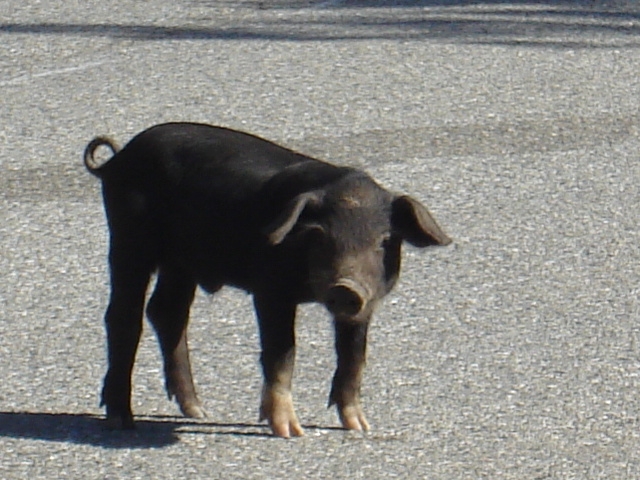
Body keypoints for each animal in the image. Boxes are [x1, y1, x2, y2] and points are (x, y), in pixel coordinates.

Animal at [84, 123, 450, 438]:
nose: (346, 287)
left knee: (166, 311)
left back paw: (198, 411)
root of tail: (118, 159)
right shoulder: (271, 291)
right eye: (320, 237)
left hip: (181, 262)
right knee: (123, 317)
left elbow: (354, 356)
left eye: (383, 241)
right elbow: (281, 352)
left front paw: (359, 426)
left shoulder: (366, 305)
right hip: (129, 239)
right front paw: (290, 432)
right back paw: (121, 420)